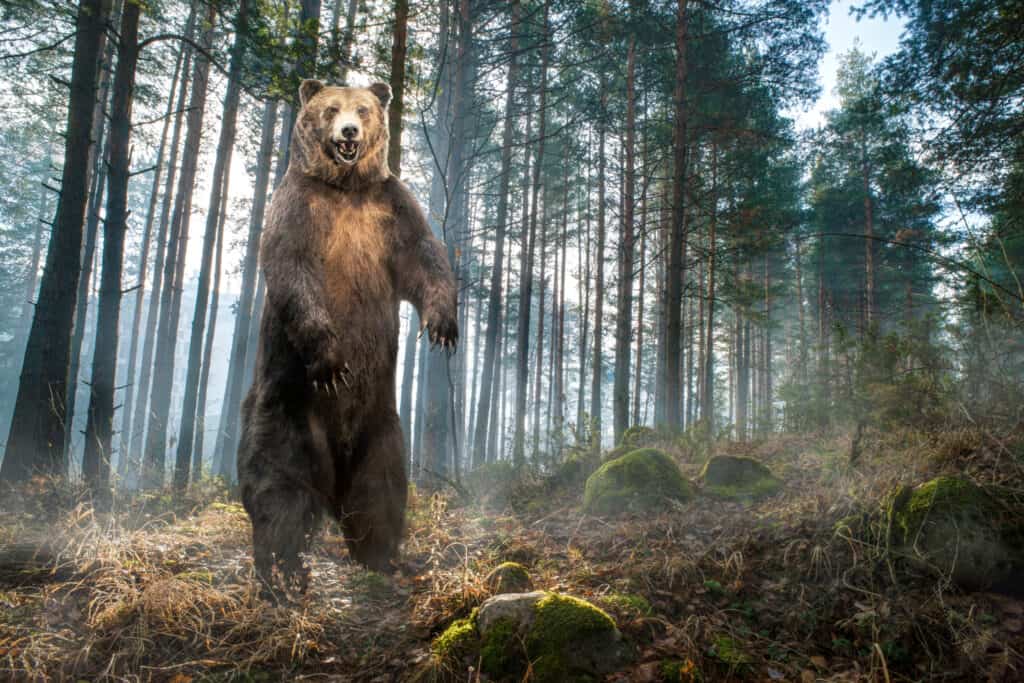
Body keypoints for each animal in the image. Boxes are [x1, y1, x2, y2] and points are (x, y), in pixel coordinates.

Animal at [237, 77, 458, 585]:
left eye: (364, 108)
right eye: (331, 109)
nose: (350, 133)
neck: (346, 188)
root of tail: (333, 471)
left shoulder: (391, 208)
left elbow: (425, 255)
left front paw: (443, 326)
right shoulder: (299, 208)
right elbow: (293, 269)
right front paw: (333, 362)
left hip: (382, 425)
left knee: (381, 491)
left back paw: (384, 558)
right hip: (288, 411)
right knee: (280, 489)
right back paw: (283, 569)